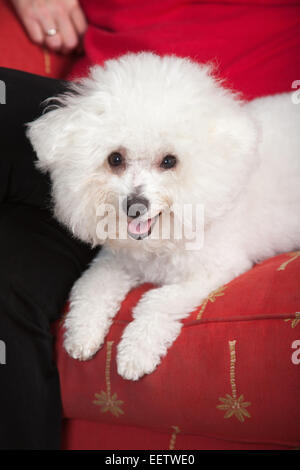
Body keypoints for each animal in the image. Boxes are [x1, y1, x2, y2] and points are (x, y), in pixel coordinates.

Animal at [27, 52, 300, 382]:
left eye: (169, 161)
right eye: (115, 159)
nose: (135, 205)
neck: (158, 244)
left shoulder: (214, 272)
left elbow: (155, 302)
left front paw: (135, 352)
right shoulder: (116, 260)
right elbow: (90, 287)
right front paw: (82, 334)